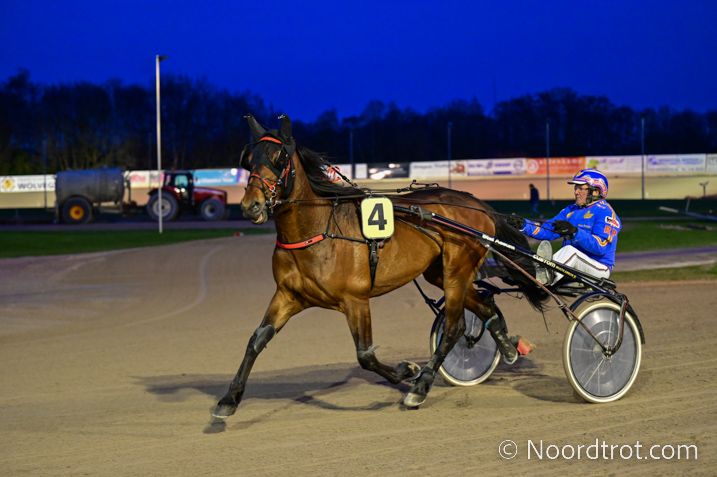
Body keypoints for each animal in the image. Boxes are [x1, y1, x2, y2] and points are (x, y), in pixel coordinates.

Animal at [213, 114, 548, 418]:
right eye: (248, 159)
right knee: (484, 306)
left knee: (454, 327)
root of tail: (478, 204)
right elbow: (256, 340)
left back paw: (421, 387)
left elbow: (365, 356)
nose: (250, 206)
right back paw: (507, 348)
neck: (317, 231)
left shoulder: (355, 299)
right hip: (442, 274)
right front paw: (229, 398)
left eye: (279, 157)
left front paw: (406, 371)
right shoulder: (287, 295)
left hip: (457, 271)